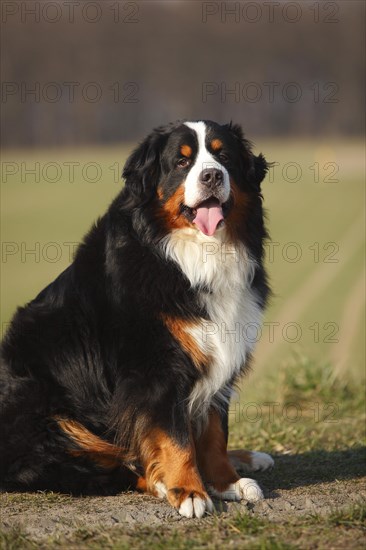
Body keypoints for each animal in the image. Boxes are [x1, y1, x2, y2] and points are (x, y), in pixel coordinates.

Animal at [0, 118, 274, 520]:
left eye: (224, 156)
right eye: (181, 162)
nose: (211, 175)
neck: (194, 253)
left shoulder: (219, 350)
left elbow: (213, 432)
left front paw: (227, 481)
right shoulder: (155, 368)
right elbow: (175, 437)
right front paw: (188, 491)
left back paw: (249, 458)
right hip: (45, 413)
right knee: (92, 469)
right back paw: (159, 480)